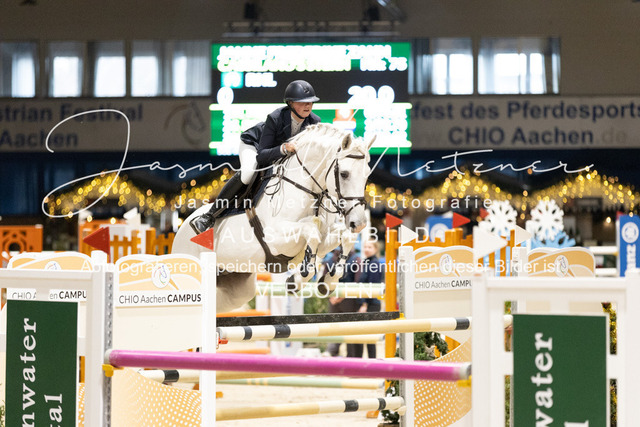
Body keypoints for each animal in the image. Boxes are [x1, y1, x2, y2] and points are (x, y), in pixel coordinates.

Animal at [172, 123, 375, 312]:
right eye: (344, 174)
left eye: (366, 176)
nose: (359, 223)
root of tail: (180, 231)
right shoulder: (275, 238)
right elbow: (311, 230)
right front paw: (298, 279)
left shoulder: (323, 238)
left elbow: (344, 237)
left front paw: (327, 282)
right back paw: (202, 222)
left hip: (236, 287)